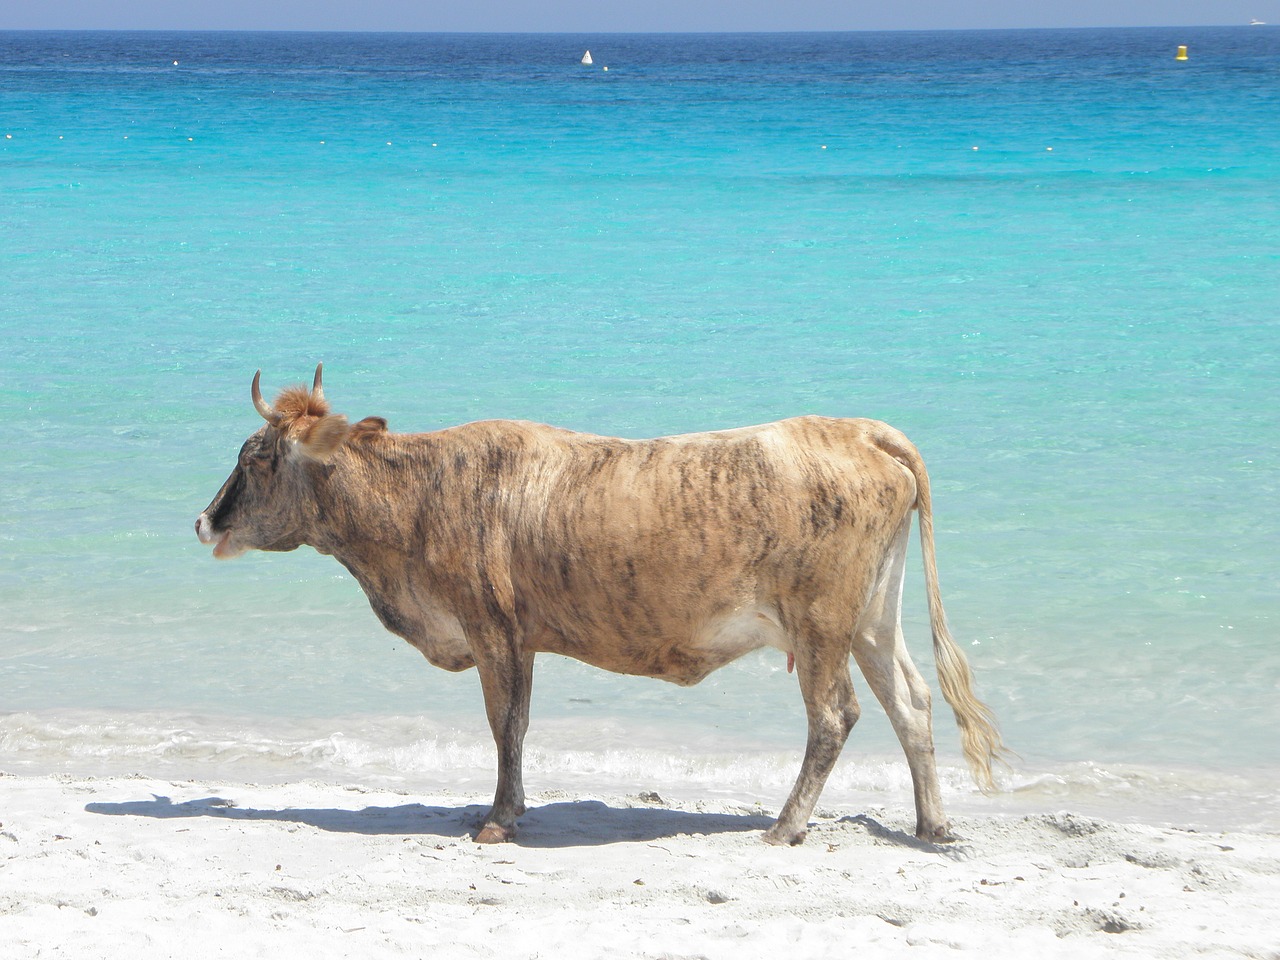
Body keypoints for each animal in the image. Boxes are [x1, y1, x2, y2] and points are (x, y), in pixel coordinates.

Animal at [194, 363, 1003, 844]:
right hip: (871, 617)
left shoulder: (492, 630)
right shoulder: (517, 638)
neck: (421, 497)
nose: (204, 520)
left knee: (836, 716)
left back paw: (786, 827)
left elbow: (505, 725)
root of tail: (856, 428)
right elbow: (516, 725)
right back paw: (932, 826)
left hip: (823, 621)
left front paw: (497, 821)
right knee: (912, 703)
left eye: (255, 457)